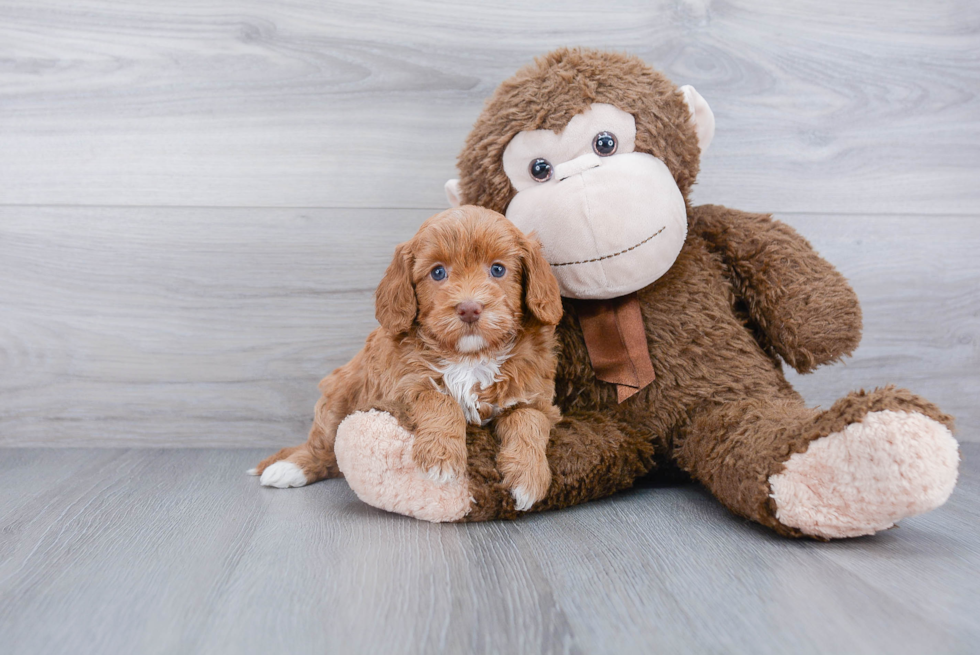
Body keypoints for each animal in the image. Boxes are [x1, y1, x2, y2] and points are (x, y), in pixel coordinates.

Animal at [249, 208, 564, 510]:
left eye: (498, 269)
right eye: (438, 273)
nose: (469, 308)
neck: (470, 357)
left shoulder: (533, 396)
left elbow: (529, 421)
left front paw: (528, 477)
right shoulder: (403, 385)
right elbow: (440, 399)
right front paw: (441, 458)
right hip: (339, 395)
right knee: (322, 444)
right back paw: (290, 468)